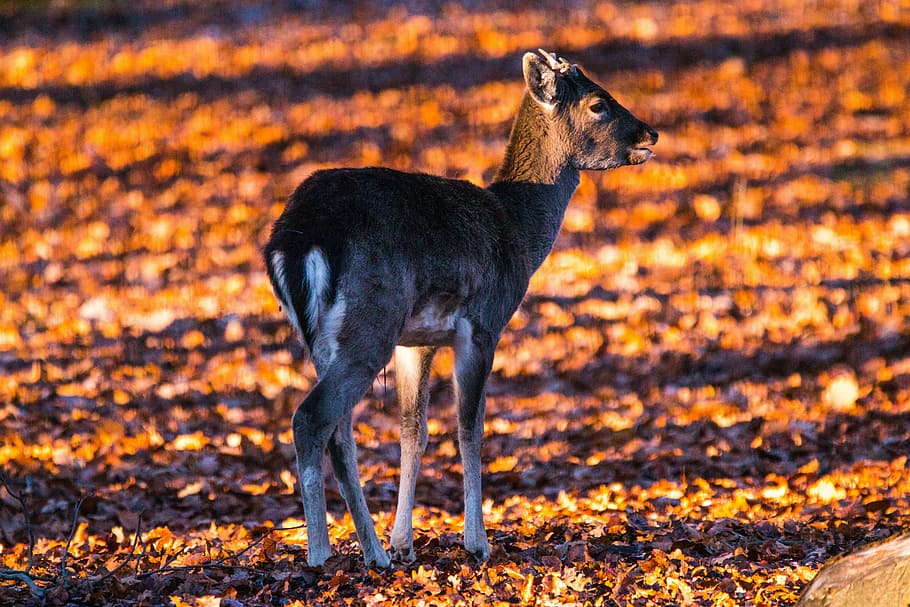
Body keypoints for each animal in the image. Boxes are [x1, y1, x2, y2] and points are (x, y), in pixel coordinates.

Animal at [264, 49, 658, 568]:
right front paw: (478, 542)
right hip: (370, 323)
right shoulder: (483, 324)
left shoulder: (417, 341)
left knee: (339, 431)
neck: (517, 232)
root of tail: (295, 240)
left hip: (328, 339)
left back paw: (374, 550)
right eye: (598, 104)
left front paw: (405, 542)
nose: (650, 133)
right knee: (311, 418)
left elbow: (414, 431)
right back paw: (322, 553)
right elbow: (471, 429)